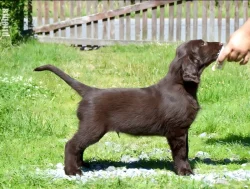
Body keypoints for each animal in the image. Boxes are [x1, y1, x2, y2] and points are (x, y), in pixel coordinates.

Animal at [34, 39, 223, 176]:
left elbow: (186, 150)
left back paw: (82, 164)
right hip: (92, 127)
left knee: (78, 146)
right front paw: (184, 171)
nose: (221, 44)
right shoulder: (177, 130)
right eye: (203, 44)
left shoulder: (183, 130)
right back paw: (72, 171)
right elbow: (181, 153)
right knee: (71, 145)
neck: (181, 86)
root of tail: (90, 91)